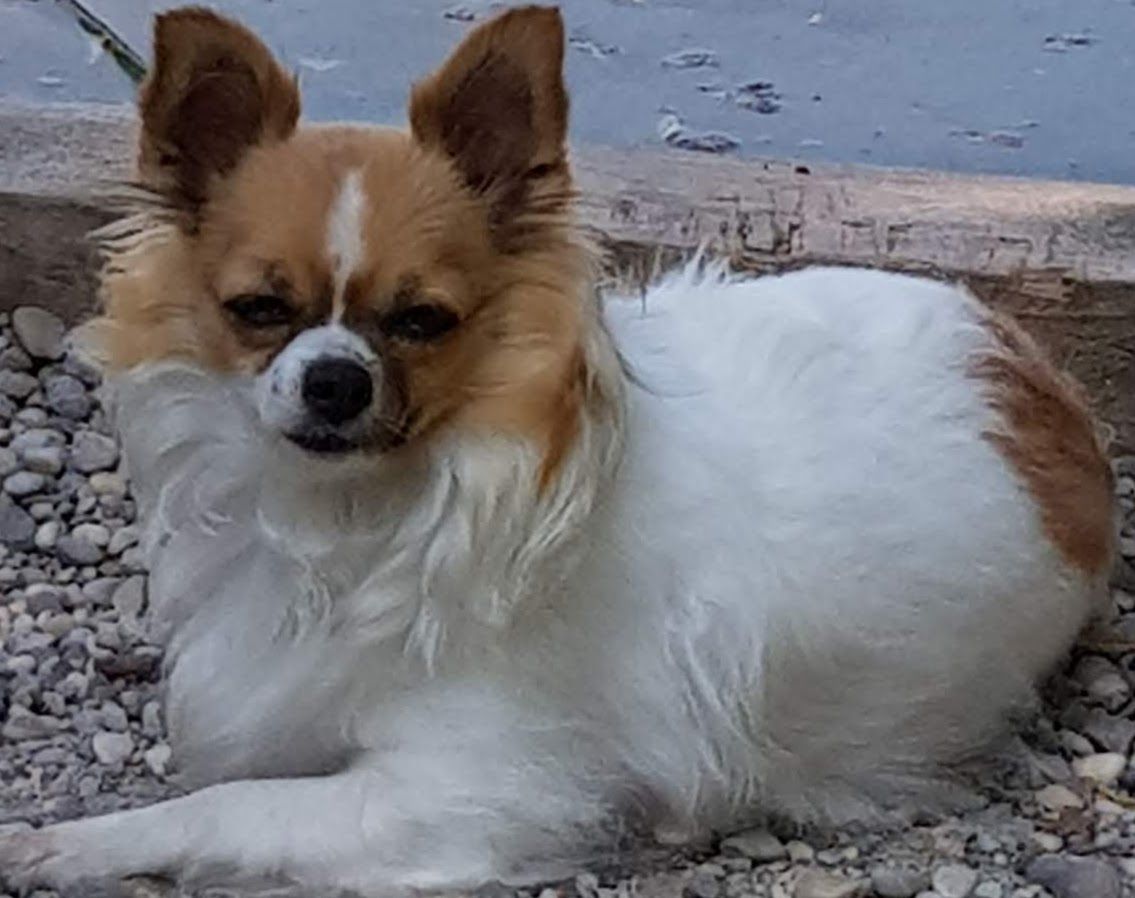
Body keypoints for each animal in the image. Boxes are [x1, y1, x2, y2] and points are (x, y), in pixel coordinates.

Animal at [0, 3, 1116, 894]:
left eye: (422, 322)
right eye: (258, 311)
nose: (334, 379)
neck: (354, 515)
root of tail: (1031, 376)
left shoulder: (463, 795)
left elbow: (227, 811)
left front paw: (74, 844)